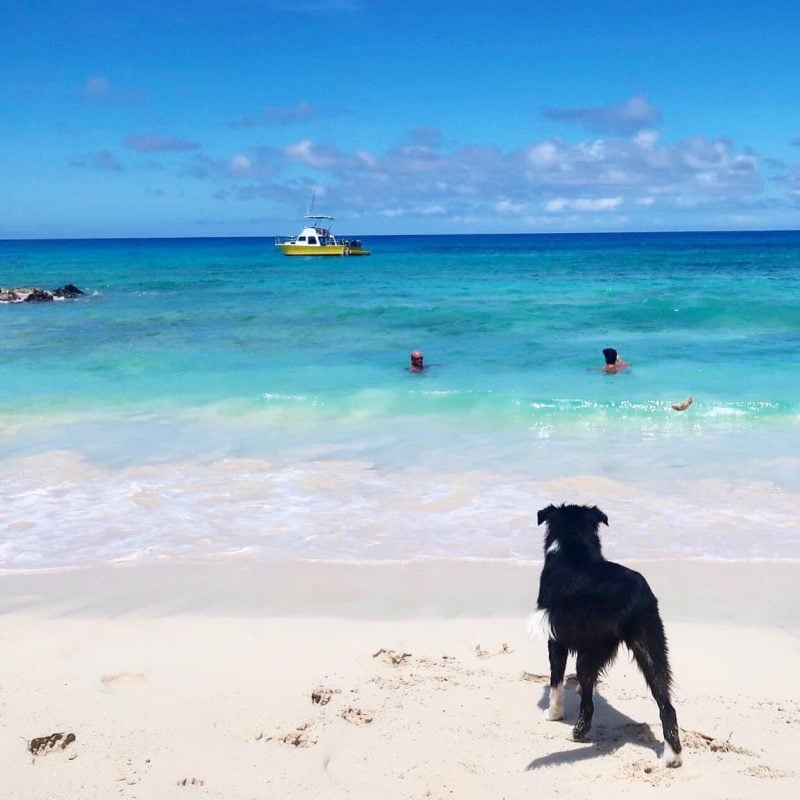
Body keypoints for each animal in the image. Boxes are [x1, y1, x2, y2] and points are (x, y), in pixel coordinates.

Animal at [532, 504, 680, 764]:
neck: (573, 545)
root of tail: (628, 593)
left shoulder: (555, 638)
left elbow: (556, 681)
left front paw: (553, 714)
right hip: (651, 642)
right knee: (666, 705)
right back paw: (672, 757)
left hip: (594, 646)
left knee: (588, 704)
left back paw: (576, 734)